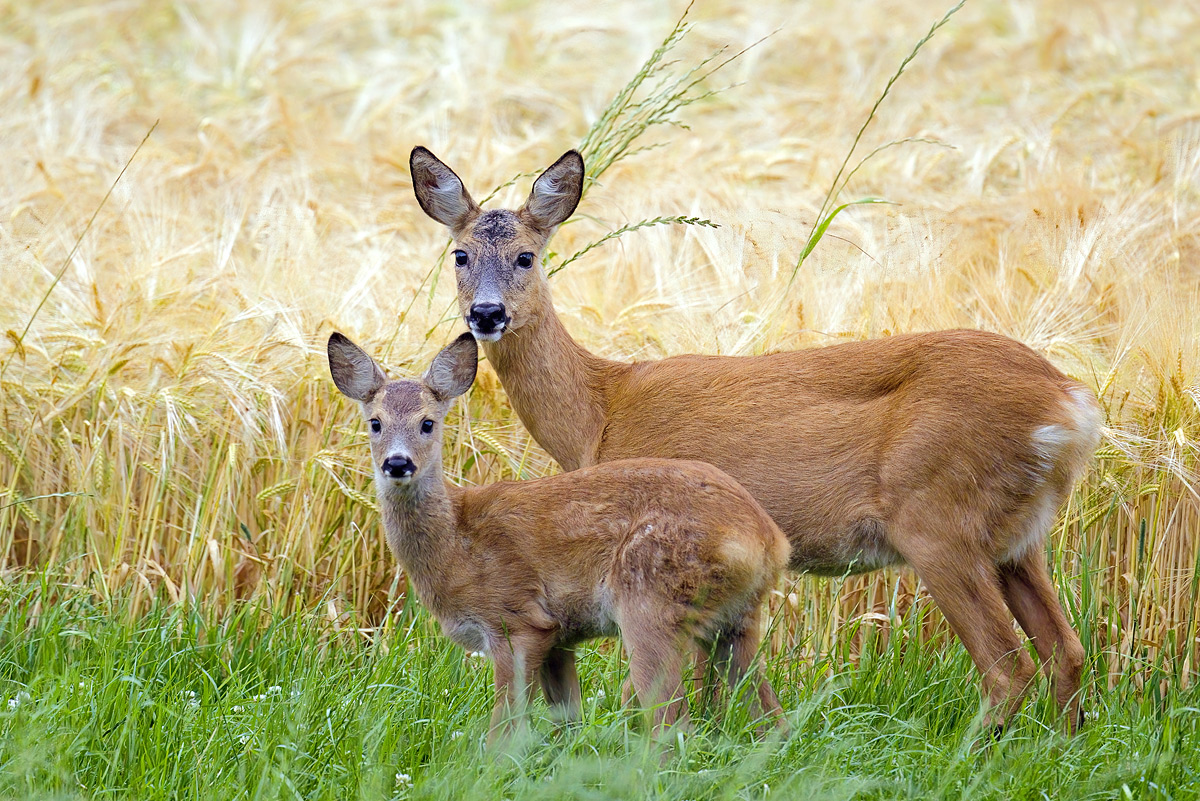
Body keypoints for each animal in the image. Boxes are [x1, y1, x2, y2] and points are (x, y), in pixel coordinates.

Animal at [326, 330, 787, 738]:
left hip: (651, 601)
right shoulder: (560, 638)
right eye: (375, 423)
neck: (456, 540)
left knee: (672, 725)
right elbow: (567, 725)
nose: (397, 463)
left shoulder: (517, 619)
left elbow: (503, 732)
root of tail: (768, 540)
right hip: (737, 622)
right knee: (770, 720)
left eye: (427, 423)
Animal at [408, 145, 1099, 733]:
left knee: (1008, 665)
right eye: (459, 255)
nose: (487, 315)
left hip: (938, 518)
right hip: (1017, 535)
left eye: (526, 256)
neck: (600, 411)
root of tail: (1071, 402)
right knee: (1066, 651)